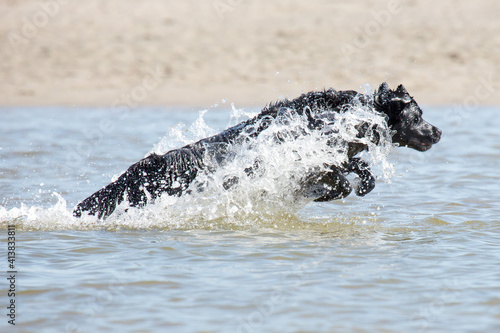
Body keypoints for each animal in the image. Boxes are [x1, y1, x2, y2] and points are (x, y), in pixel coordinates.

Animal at [73, 82, 442, 218]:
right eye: (418, 115)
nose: (438, 131)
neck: (354, 114)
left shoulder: (335, 154)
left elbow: (359, 173)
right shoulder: (312, 155)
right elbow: (339, 181)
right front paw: (317, 192)